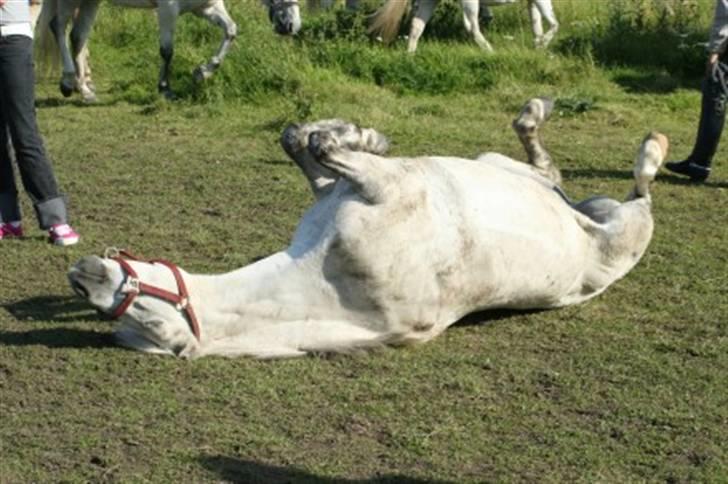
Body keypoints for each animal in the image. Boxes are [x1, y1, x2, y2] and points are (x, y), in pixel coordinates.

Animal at [35, 0, 238, 102]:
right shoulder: (168, 9)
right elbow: (167, 51)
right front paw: (165, 89)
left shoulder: (206, 7)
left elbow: (230, 31)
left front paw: (202, 72)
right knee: (58, 27)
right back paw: (68, 83)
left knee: (78, 37)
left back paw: (85, 90)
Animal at [68, 98, 667, 359]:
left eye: (148, 313)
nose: (81, 276)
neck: (332, 276)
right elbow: (309, 144)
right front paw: (354, 133)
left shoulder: (375, 187)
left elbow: (309, 141)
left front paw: (361, 133)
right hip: (532, 182)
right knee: (558, 175)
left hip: (616, 223)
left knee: (634, 187)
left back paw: (646, 145)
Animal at [370, 0, 559, 53]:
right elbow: (554, 24)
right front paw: (542, 45)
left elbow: (537, 26)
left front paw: (539, 49)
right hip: (469, 2)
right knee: (472, 27)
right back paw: (491, 52)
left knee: (417, 25)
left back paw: (410, 55)